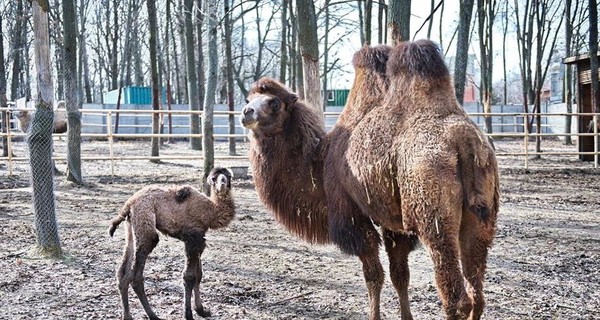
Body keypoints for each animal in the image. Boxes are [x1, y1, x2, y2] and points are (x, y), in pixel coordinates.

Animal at [109, 168, 236, 320]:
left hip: (131, 227)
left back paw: (127, 316)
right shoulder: (192, 238)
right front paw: (188, 314)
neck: (210, 211)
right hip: (145, 220)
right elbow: (189, 276)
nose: (222, 184)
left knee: (123, 273)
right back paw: (153, 315)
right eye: (213, 178)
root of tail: (129, 203)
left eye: (228, 176)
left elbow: (199, 274)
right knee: (136, 276)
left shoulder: (199, 240)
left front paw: (201, 310)